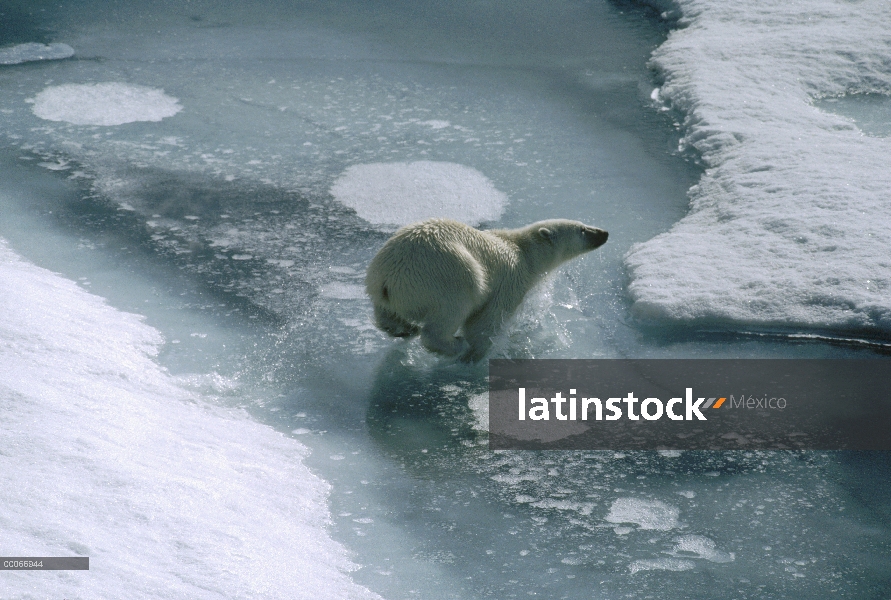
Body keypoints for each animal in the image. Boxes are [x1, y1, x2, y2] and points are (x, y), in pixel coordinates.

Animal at [366, 219, 608, 360]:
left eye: (585, 223)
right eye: (583, 229)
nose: (604, 232)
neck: (522, 250)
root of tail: (390, 279)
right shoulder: (511, 281)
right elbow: (484, 323)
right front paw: (477, 353)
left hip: (378, 286)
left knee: (385, 315)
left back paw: (406, 329)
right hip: (446, 274)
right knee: (455, 304)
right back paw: (454, 345)